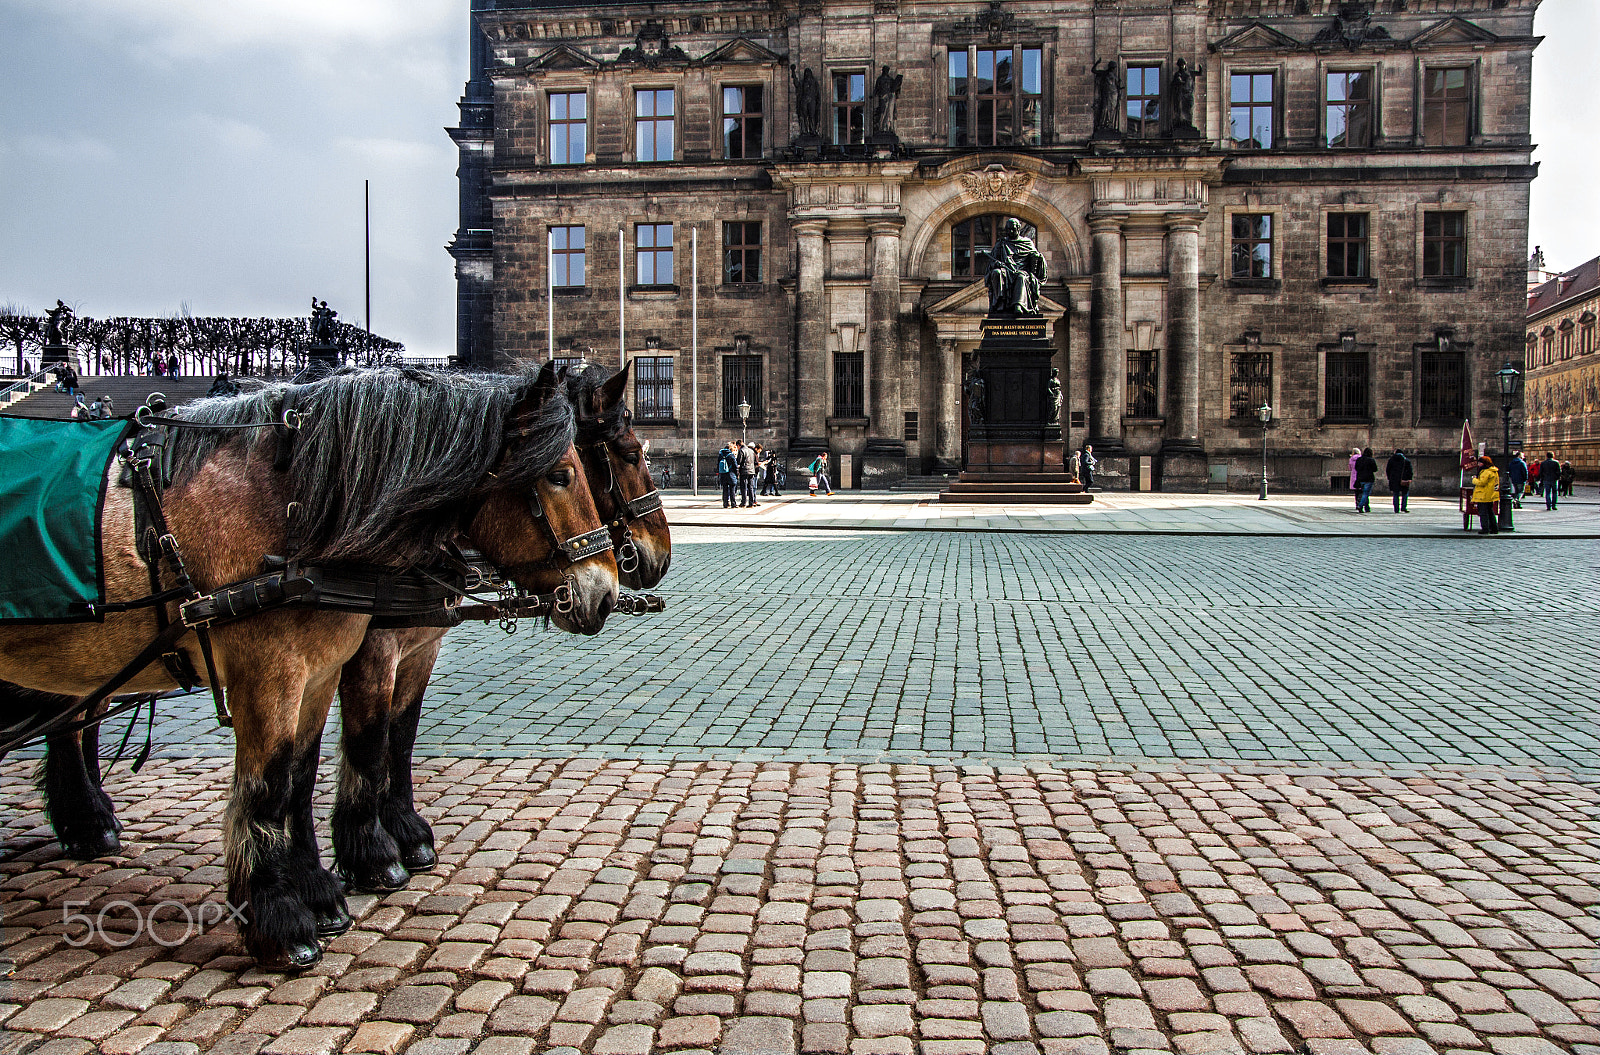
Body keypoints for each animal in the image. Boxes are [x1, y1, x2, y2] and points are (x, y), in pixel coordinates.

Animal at [0, 363, 617, 966]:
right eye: (563, 475)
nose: (606, 591)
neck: (297, 515)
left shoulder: (335, 668)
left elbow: (327, 766)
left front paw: (325, 890)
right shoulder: (286, 672)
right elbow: (297, 773)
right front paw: (290, 912)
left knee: (71, 725)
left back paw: (86, 821)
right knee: (72, 728)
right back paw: (90, 822)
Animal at [331, 363, 668, 890]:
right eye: (632, 455)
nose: (662, 555)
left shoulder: (417, 647)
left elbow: (400, 735)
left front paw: (404, 832)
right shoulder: (367, 653)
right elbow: (365, 742)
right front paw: (368, 853)